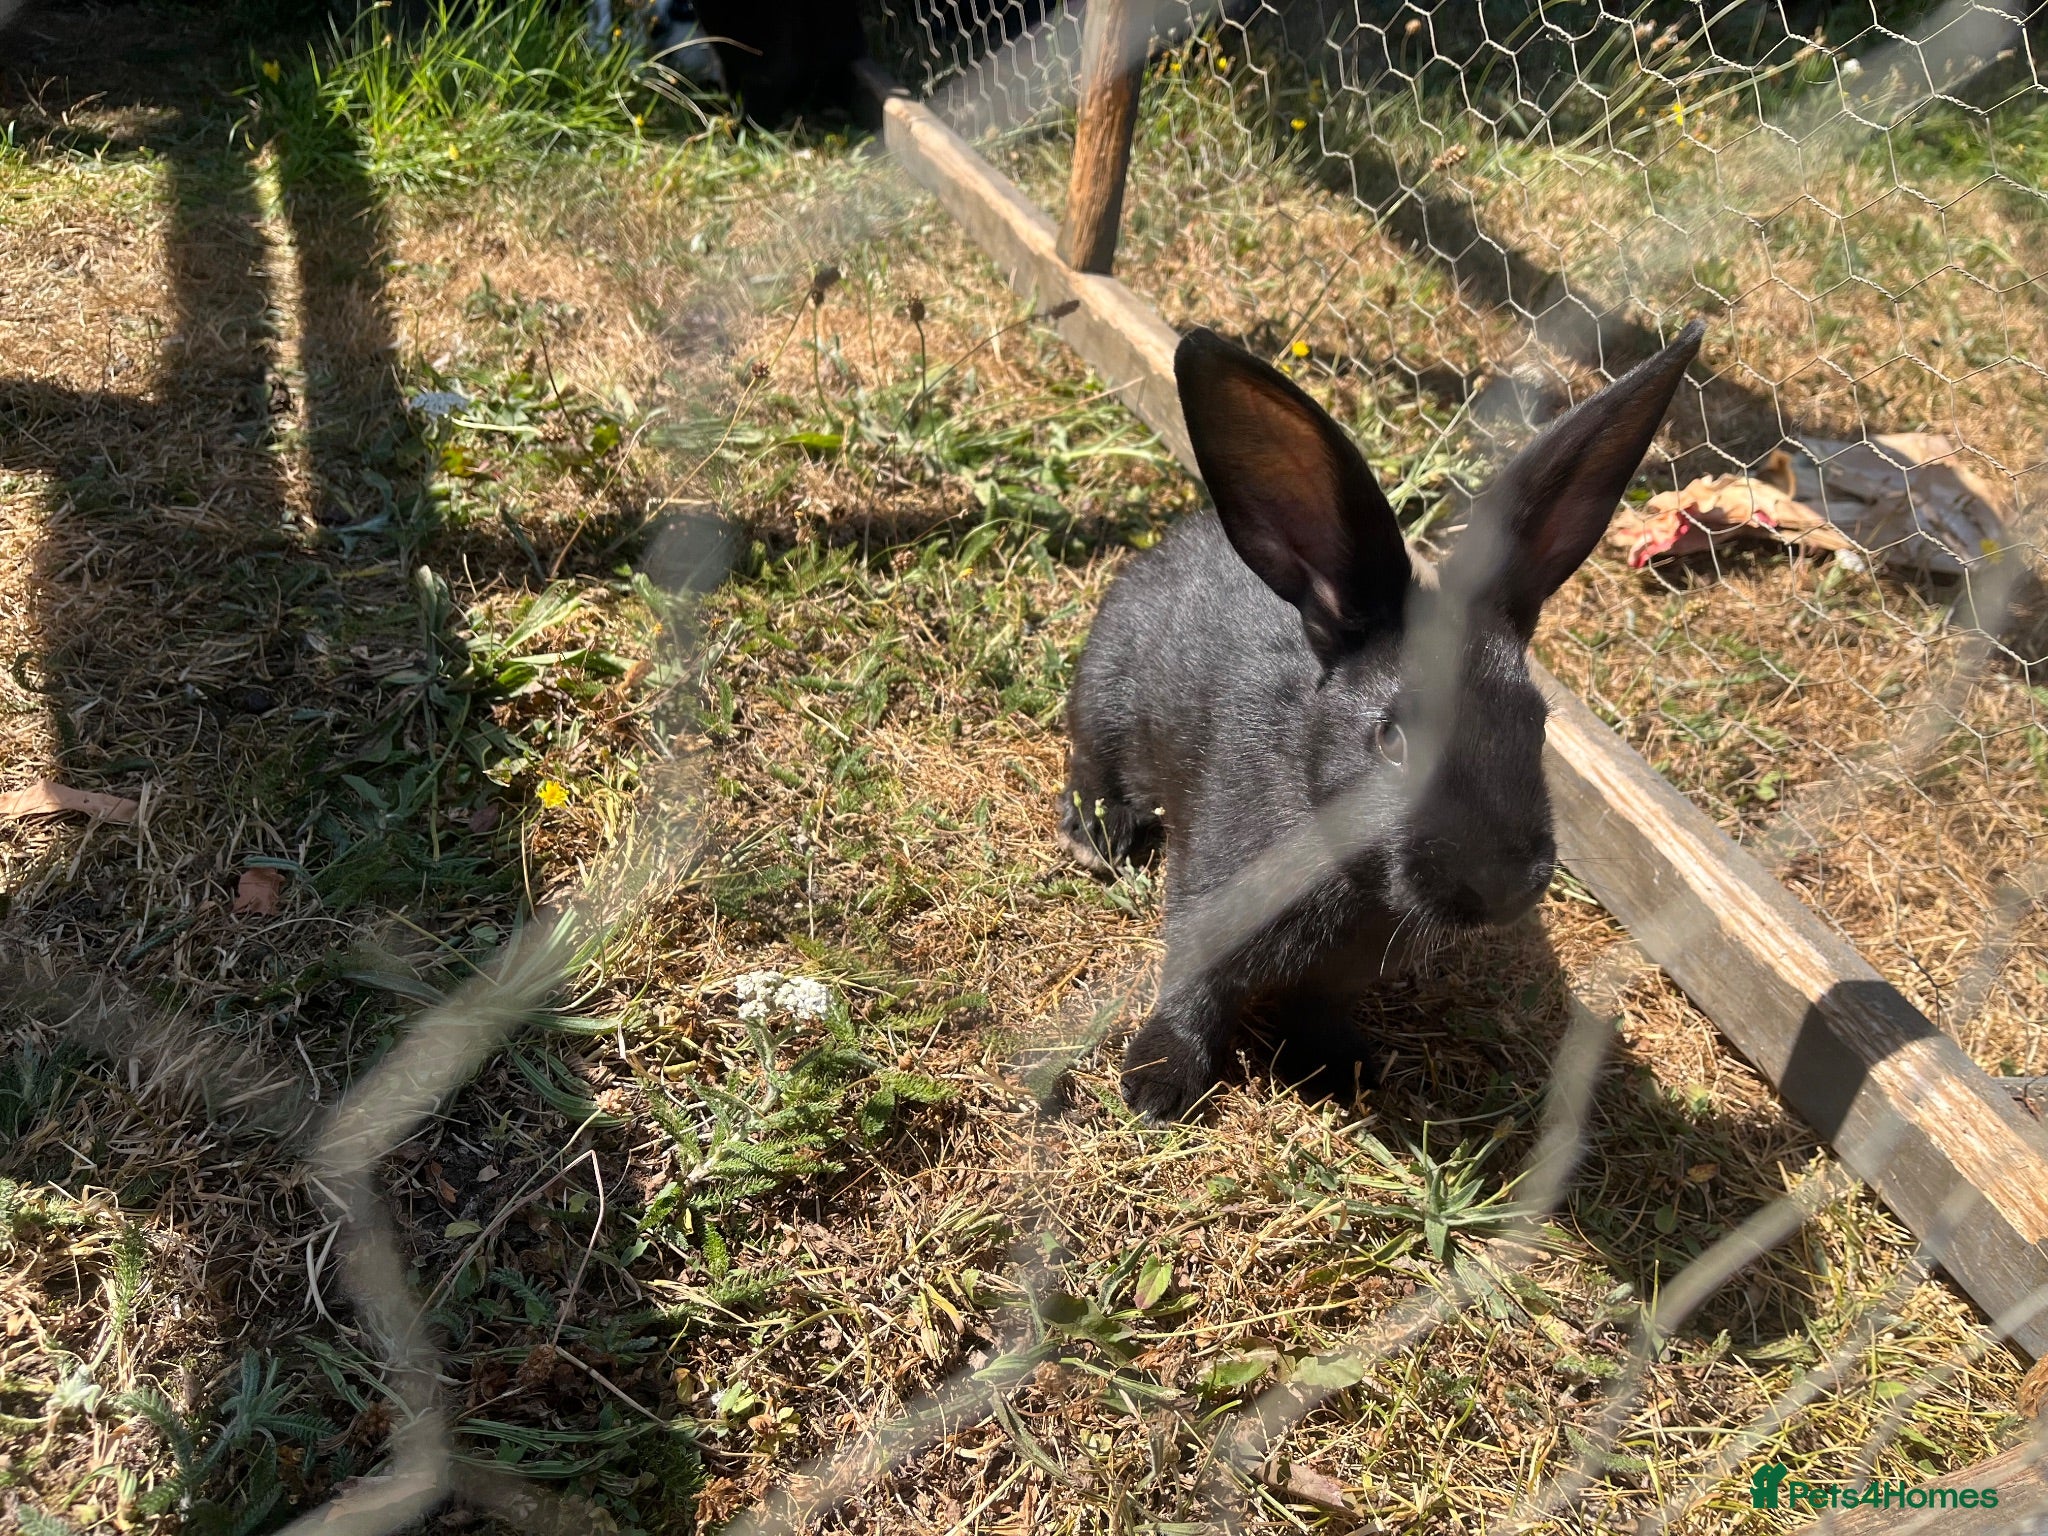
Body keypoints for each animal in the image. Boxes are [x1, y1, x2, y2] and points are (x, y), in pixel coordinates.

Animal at [1061, 319, 1704, 1120]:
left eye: (1538, 725)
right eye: (1392, 738)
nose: (1505, 885)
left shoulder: (1342, 975)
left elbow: (1319, 1008)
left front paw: (1339, 1070)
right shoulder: (1206, 905)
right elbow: (1191, 988)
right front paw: (1156, 1084)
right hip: (1106, 697)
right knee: (1091, 761)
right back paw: (1096, 836)